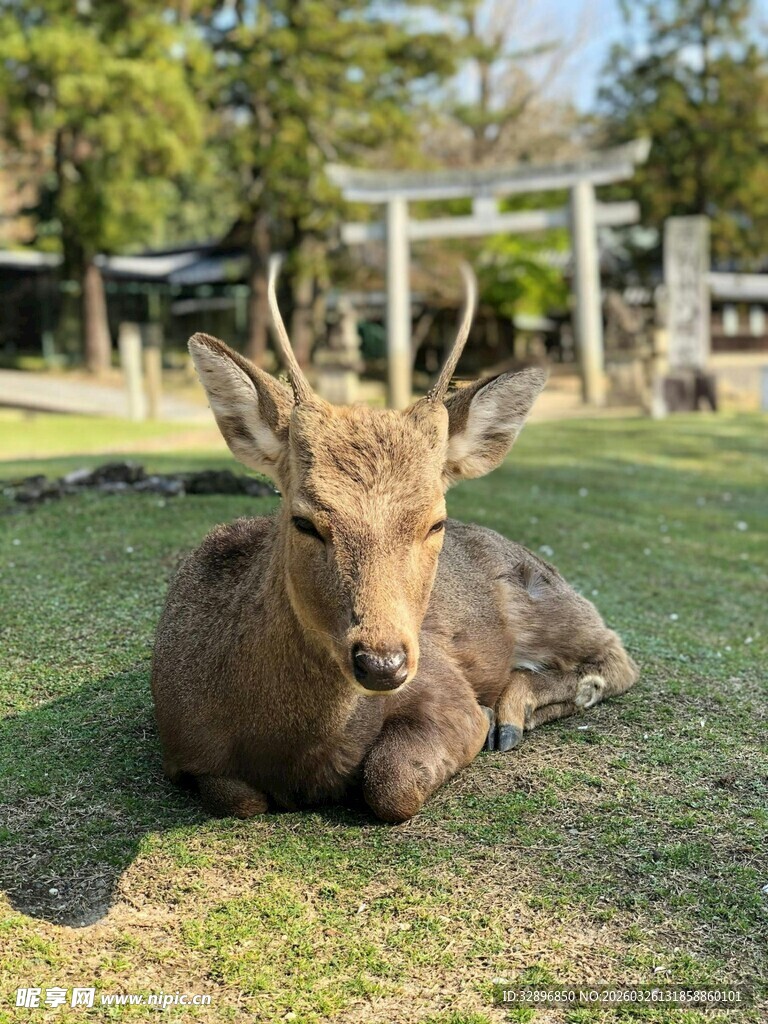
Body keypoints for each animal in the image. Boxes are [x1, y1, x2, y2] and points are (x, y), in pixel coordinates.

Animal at [151, 260, 638, 823]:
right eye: (304, 520)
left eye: (436, 522)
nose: (383, 664)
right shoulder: (181, 749)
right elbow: (241, 799)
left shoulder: (445, 689)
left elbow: (393, 782)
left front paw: (485, 719)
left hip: (552, 604)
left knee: (617, 655)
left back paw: (511, 716)